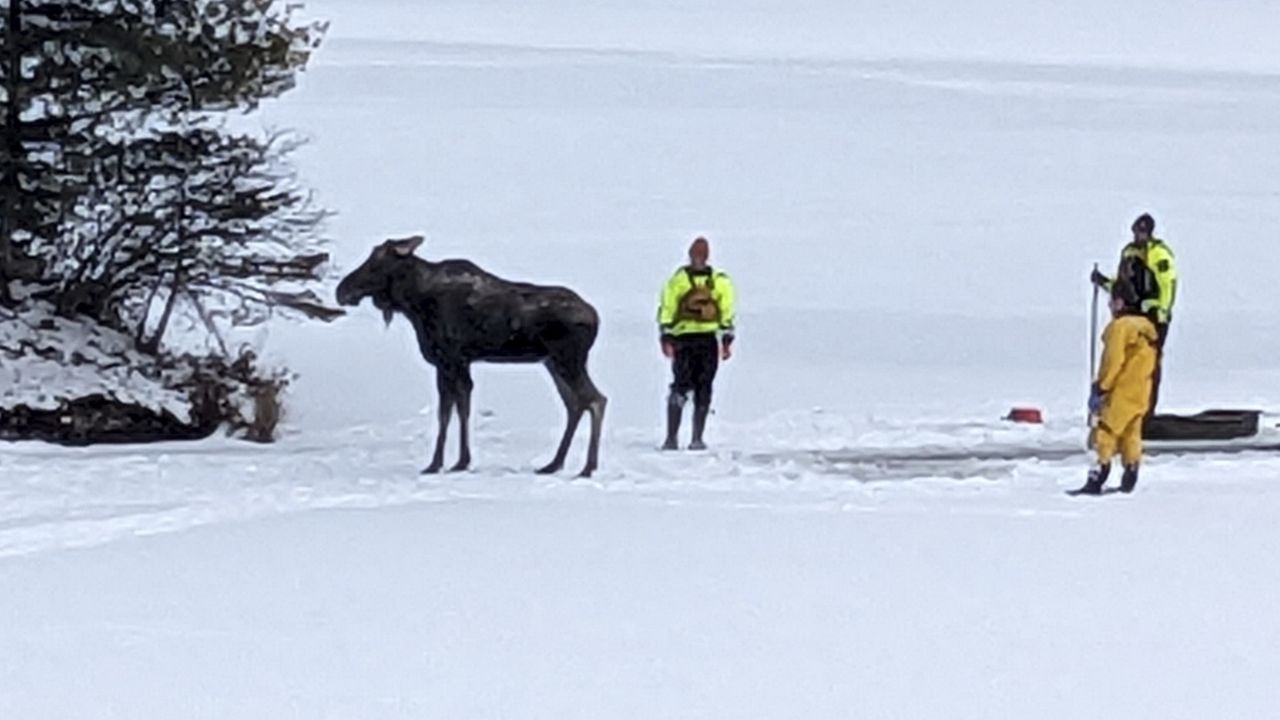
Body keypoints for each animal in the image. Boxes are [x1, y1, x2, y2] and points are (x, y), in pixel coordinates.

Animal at [335, 233, 604, 474]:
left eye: (375, 263)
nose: (341, 291)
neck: (414, 303)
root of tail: (595, 318)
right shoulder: (457, 362)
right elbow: (460, 407)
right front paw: (459, 461)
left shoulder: (449, 359)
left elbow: (447, 412)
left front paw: (440, 463)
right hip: (552, 362)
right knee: (575, 404)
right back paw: (554, 464)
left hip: (567, 360)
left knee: (595, 400)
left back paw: (586, 467)